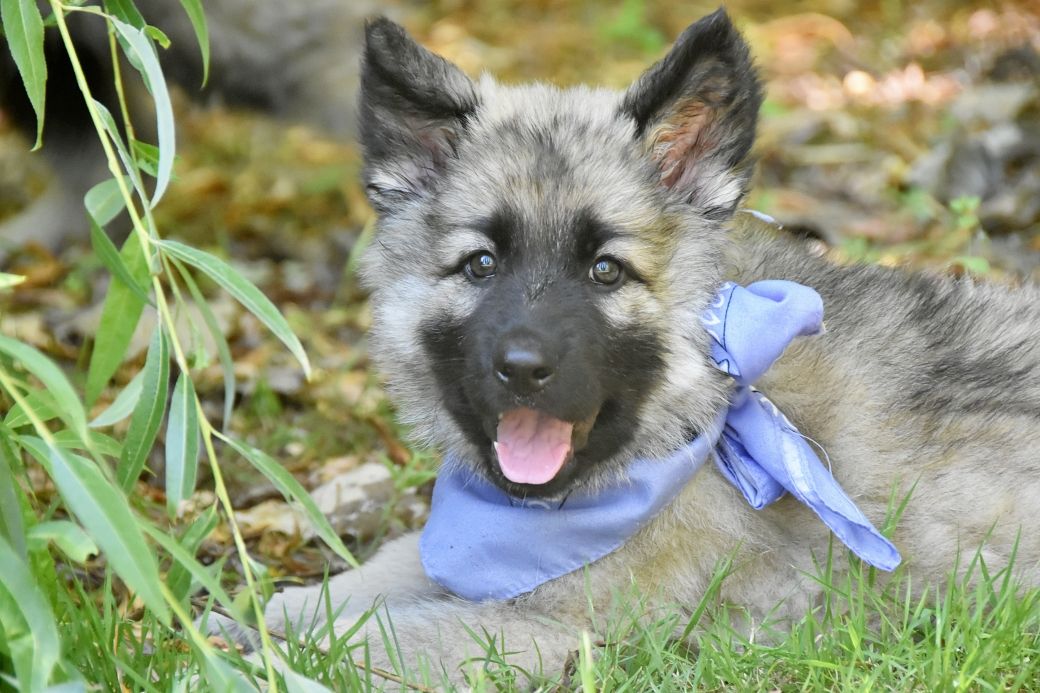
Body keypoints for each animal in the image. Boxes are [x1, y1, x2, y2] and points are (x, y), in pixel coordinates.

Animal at [262, 9, 1040, 685]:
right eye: (481, 264)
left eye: (606, 271)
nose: (522, 370)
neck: (699, 418)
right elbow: (385, 569)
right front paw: (282, 604)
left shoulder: (560, 630)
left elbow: (391, 633)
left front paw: (271, 648)